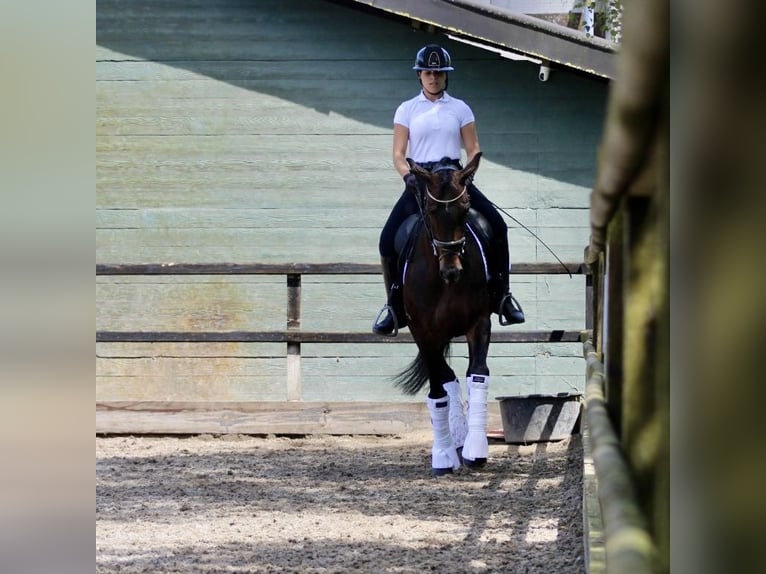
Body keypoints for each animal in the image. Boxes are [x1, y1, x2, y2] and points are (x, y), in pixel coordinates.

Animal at [392, 153, 496, 476]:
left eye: (464, 210)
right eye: (431, 210)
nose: (452, 271)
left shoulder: (479, 322)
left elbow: (478, 376)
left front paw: (476, 449)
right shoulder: (423, 331)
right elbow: (437, 391)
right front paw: (443, 456)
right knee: (445, 378)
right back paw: (455, 440)